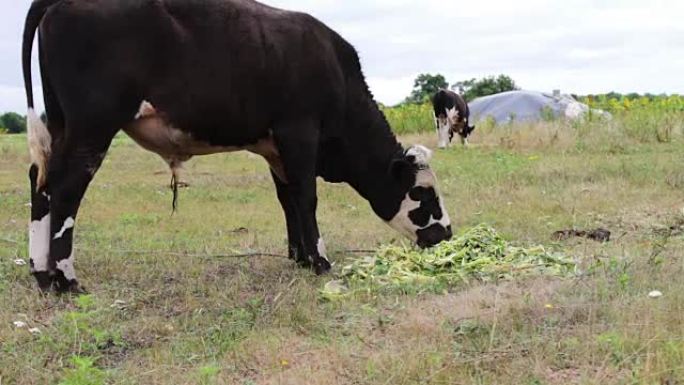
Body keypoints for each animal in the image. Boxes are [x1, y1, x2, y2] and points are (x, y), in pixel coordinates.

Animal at [22, 0, 454, 292]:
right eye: (423, 193)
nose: (447, 234)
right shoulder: (299, 132)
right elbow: (306, 196)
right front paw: (319, 260)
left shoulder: (274, 147)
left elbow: (288, 199)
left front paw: (298, 257)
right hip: (92, 127)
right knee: (66, 187)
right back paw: (66, 278)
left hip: (61, 123)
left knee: (41, 181)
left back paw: (42, 274)